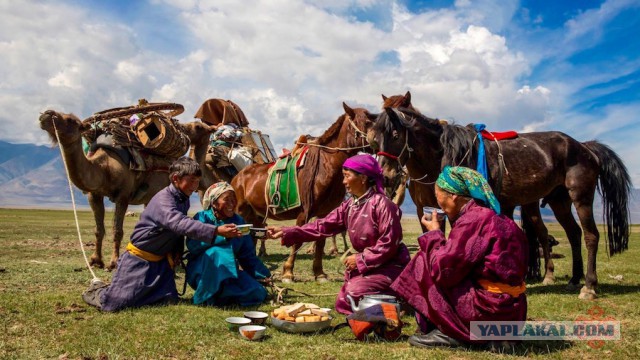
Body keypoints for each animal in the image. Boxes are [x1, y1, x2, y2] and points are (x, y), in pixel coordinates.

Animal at [40, 109, 215, 270]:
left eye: (70, 120)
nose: (45, 114)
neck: (105, 167)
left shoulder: (123, 195)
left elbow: (117, 230)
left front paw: (114, 262)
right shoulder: (94, 195)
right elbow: (98, 229)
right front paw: (96, 260)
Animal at [232, 102, 378, 282]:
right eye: (365, 122)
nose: (378, 141)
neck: (325, 166)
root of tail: (238, 177)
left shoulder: (324, 213)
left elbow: (320, 241)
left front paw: (319, 273)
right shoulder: (303, 212)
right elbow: (297, 240)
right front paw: (288, 272)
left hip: (256, 215)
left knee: (252, 238)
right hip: (240, 210)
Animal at [370, 105, 632, 300]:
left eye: (395, 135)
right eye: (375, 141)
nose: (386, 176)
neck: (446, 154)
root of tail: (585, 147)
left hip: (581, 197)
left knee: (590, 236)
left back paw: (589, 286)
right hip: (559, 201)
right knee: (574, 233)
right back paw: (574, 280)